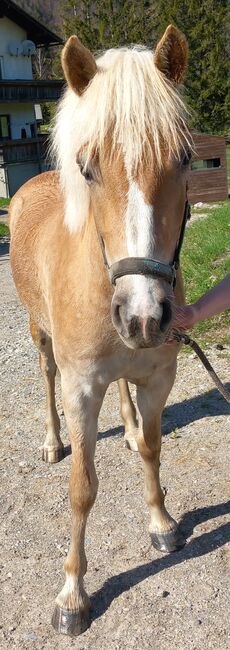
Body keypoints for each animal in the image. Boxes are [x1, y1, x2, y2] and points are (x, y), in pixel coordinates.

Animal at [9, 24, 192, 632]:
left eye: (185, 158)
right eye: (88, 168)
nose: (143, 315)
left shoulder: (157, 378)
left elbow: (154, 449)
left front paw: (161, 523)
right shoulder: (82, 390)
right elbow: (83, 491)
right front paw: (72, 594)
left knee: (125, 398)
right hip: (41, 341)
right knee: (45, 378)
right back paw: (51, 441)